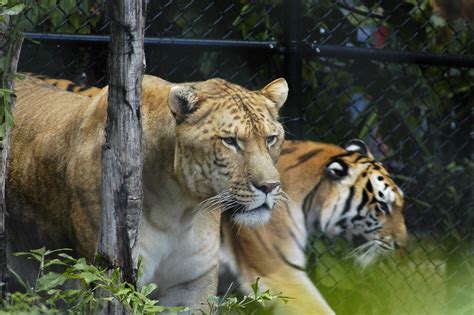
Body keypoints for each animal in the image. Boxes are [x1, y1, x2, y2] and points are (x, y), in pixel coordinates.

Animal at [8, 74, 288, 312]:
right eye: (230, 141)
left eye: (271, 139)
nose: (270, 186)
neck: (179, 211)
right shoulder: (105, 277)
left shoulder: (192, 284)